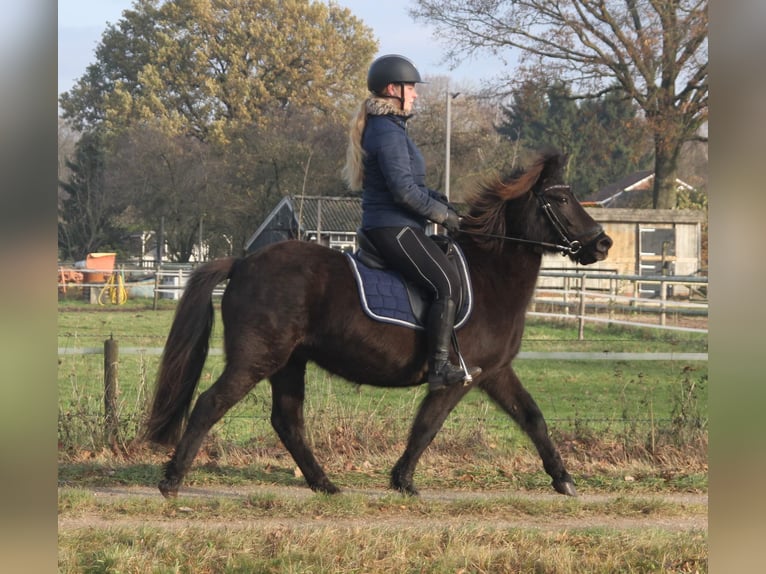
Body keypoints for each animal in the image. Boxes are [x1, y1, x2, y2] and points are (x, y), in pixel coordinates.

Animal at [142, 148, 612, 500]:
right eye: (560, 199)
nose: (602, 243)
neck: (489, 274)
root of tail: (243, 262)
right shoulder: (460, 377)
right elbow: (427, 426)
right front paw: (403, 480)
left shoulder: (494, 372)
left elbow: (532, 418)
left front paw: (563, 479)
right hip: (257, 358)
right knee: (211, 404)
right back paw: (172, 481)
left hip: (290, 363)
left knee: (288, 421)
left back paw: (325, 484)